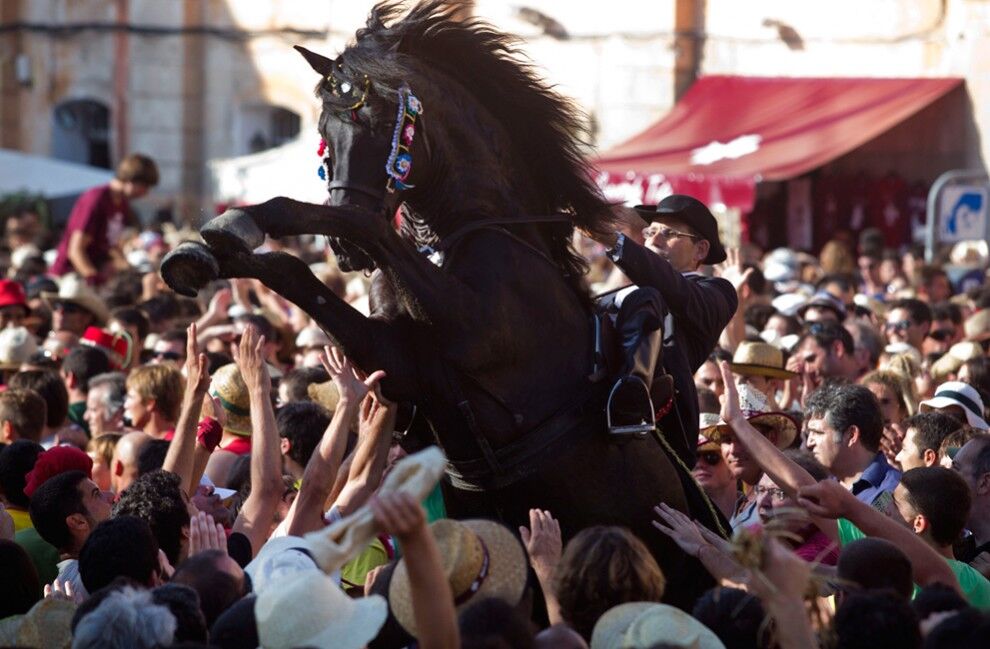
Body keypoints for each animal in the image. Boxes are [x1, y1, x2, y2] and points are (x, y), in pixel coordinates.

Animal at [161, 0, 720, 608]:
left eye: (381, 123)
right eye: (323, 131)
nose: (344, 254)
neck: (478, 233)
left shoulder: (467, 333)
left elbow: (358, 225)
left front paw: (247, 223)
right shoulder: (399, 359)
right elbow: (293, 271)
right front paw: (204, 250)